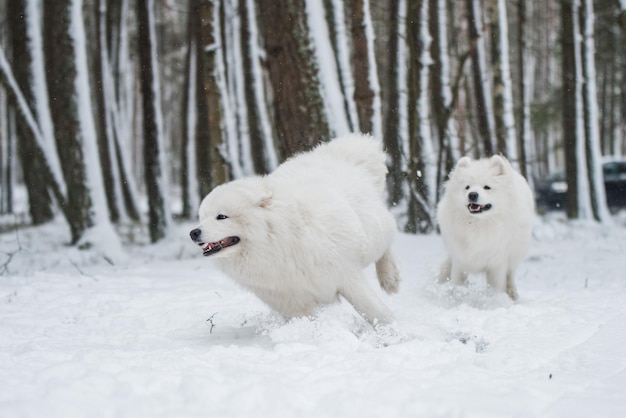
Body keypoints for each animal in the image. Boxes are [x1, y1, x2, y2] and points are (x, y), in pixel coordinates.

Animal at [188, 134, 398, 326]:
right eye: (202, 217)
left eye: (221, 216)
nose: (193, 233)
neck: (277, 242)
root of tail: (337, 151)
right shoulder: (290, 300)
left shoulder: (346, 274)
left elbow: (375, 312)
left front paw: (394, 333)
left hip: (373, 235)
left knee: (387, 243)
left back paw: (390, 279)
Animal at [434, 155, 532, 298]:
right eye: (467, 187)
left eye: (487, 187)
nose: (472, 194)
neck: (478, 225)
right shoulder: (460, 259)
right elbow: (456, 282)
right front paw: (454, 296)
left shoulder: (497, 263)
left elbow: (497, 286)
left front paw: (495, 300)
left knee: (510, 276)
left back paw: (512, 294)